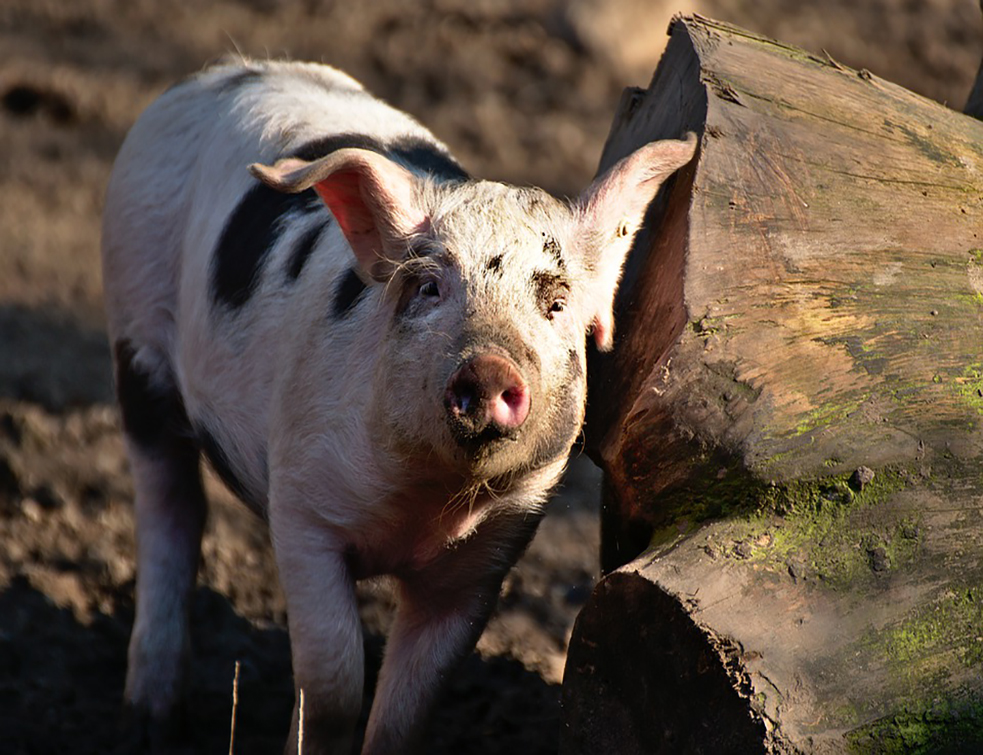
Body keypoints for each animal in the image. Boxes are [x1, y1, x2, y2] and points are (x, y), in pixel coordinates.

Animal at [101, 58, 696, 754]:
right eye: (430, 287)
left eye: (555, 305)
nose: (489, 367)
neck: (424, 506)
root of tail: (212, 76)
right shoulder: (302, 511)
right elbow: (334, 683)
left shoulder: (484, 564)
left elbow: (406, 711)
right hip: (135, 330)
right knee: (170, 506)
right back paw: (148, 722)